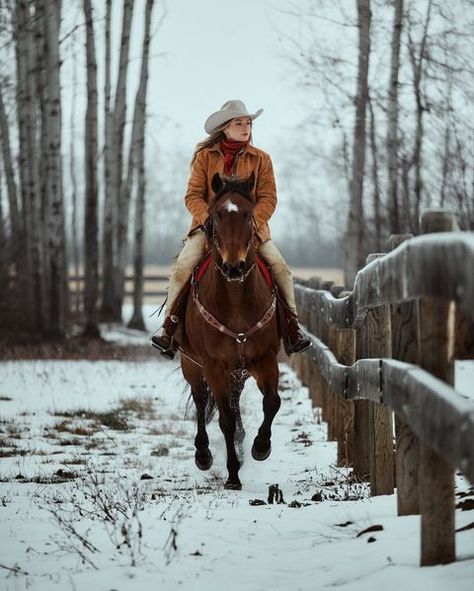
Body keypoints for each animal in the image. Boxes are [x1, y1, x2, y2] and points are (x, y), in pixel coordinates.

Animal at [180, 171, 280, 490]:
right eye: (217, 216)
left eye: (248, 215)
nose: (234, 266)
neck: (236, 300)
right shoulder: (213, 366)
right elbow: (222, 418)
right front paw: (233, 475)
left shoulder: (265, 359)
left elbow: (272, 402)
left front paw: (261, 447)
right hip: (191, 364)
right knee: (201, 400)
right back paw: (203, 454)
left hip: (240, 370)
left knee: (235, 401)